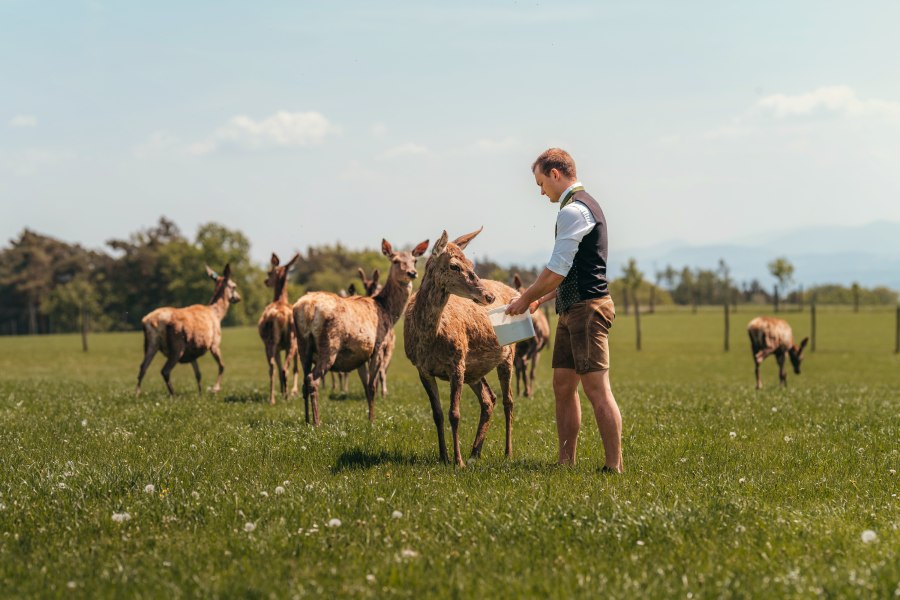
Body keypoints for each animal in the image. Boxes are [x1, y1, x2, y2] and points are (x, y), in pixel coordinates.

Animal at [135, 264, 241, 396]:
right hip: (177, 344)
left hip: (150, 344)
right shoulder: (215, 343)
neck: (217, 315)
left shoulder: (192, 351)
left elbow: (198, 374)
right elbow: (222, 365)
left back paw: (137, 394)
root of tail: (148, 321)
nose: (238, 298)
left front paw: (201, 394)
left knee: (143, 367)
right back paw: (173, 394)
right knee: (165, 370)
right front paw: (215, 388)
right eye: (234, 286)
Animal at [256, 251, 302, 406]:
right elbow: (294, 367)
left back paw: (273, 398)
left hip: (272, 342)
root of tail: (280, 316)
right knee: (284, 368)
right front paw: (290, 392)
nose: (265, 281)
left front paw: (287, 391)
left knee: (274, 368)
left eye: (269, 272)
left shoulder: (279, 347)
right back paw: (284, 396)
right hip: (288, 341)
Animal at [290, 237, 428, 424]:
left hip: (302, 345)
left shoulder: (360, 355)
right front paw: (373, 421)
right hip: (329, 344)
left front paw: (369, 417)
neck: (387, 310)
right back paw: (317, 422)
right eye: (395, 260)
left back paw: (306, 420)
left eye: (415, 260)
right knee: (313, 379)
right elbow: (372, 386)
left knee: (305, 380)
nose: (412, 273)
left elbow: (365, 386)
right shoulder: (378, 346)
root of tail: (307, 308)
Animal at [404, 227, 516, 466]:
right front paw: (443, 456)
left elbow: (454, 413)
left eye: (472, 264)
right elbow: (437, 413)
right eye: (454, 266)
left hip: (508, 353)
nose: (489, 296)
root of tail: (512, 290)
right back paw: (475, 452)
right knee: (489, 399)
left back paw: (507, 452)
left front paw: (458, 461)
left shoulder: (457, 362)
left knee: (508, 400)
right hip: (474, 370)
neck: (428, 339)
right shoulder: (422, 368)